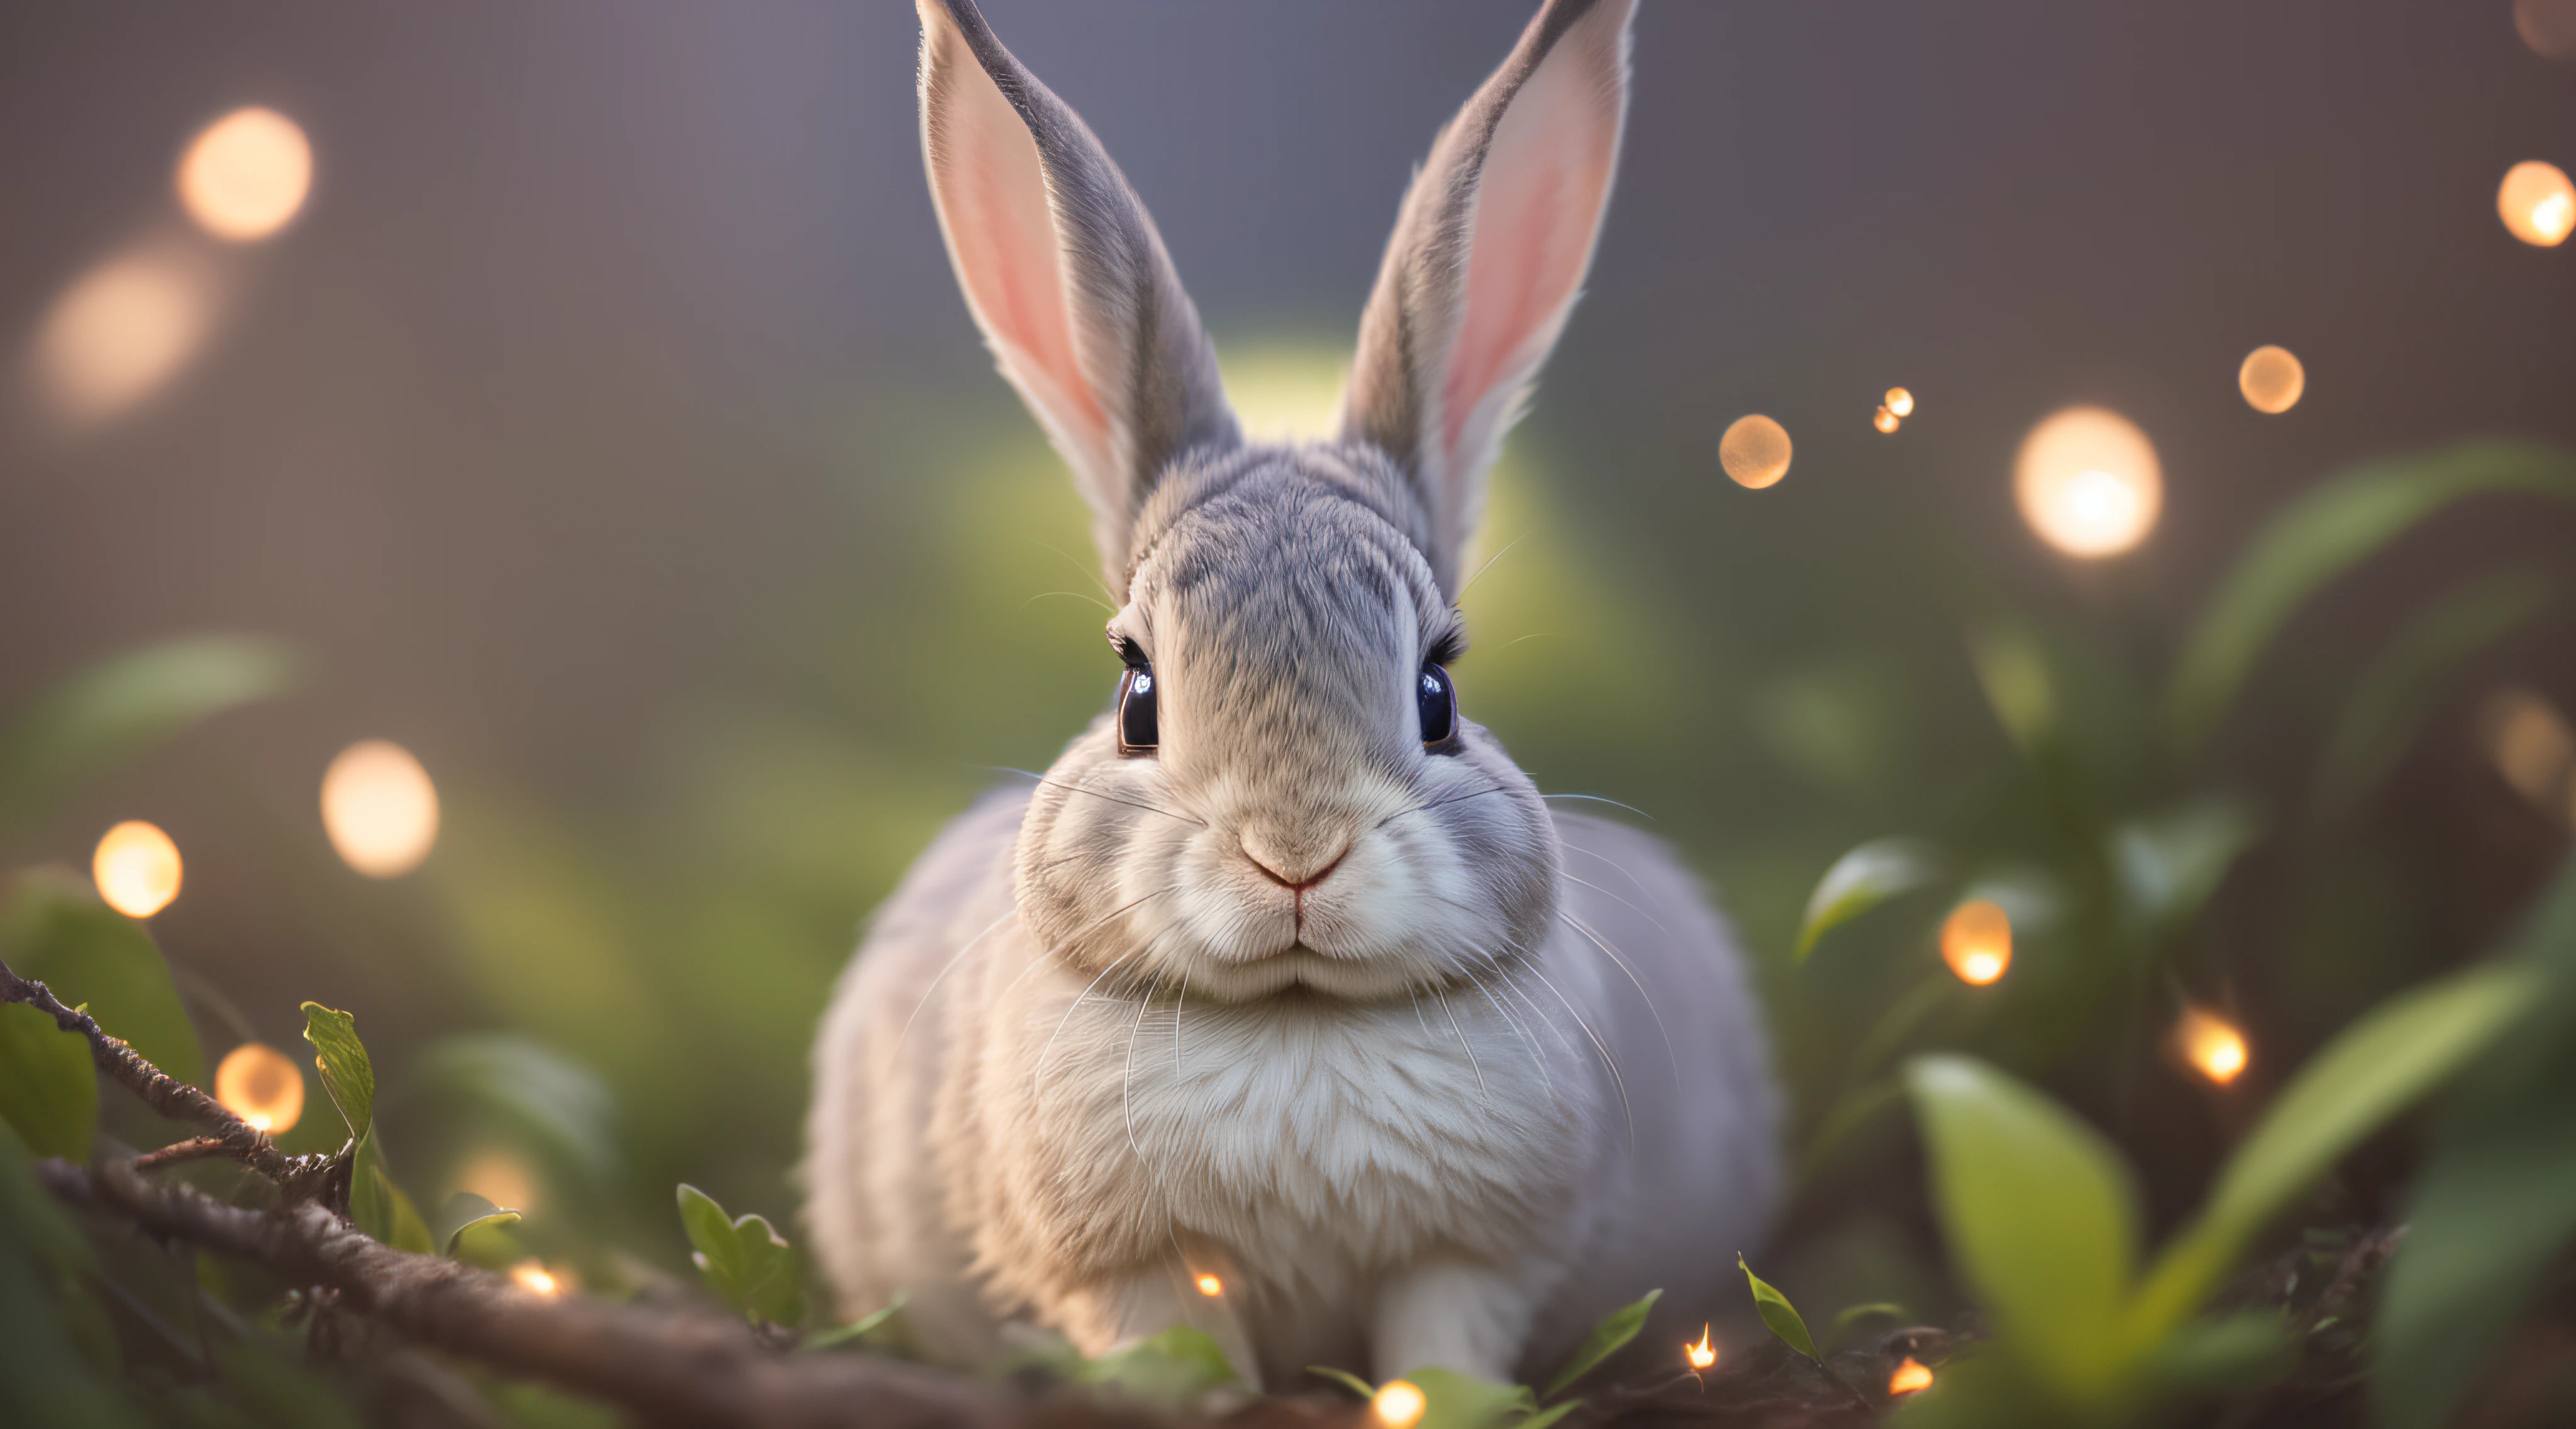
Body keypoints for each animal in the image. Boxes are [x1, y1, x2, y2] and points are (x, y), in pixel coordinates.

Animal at [803, 0, 1772, 1390]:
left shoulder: (1472, 1260)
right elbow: (1174, 1344)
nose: (1295, 852)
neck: (1294, 1017)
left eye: (1437, 691)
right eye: (1135, 695)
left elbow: (1444, 1341)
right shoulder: (1126, 1270)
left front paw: (1444, 1404)